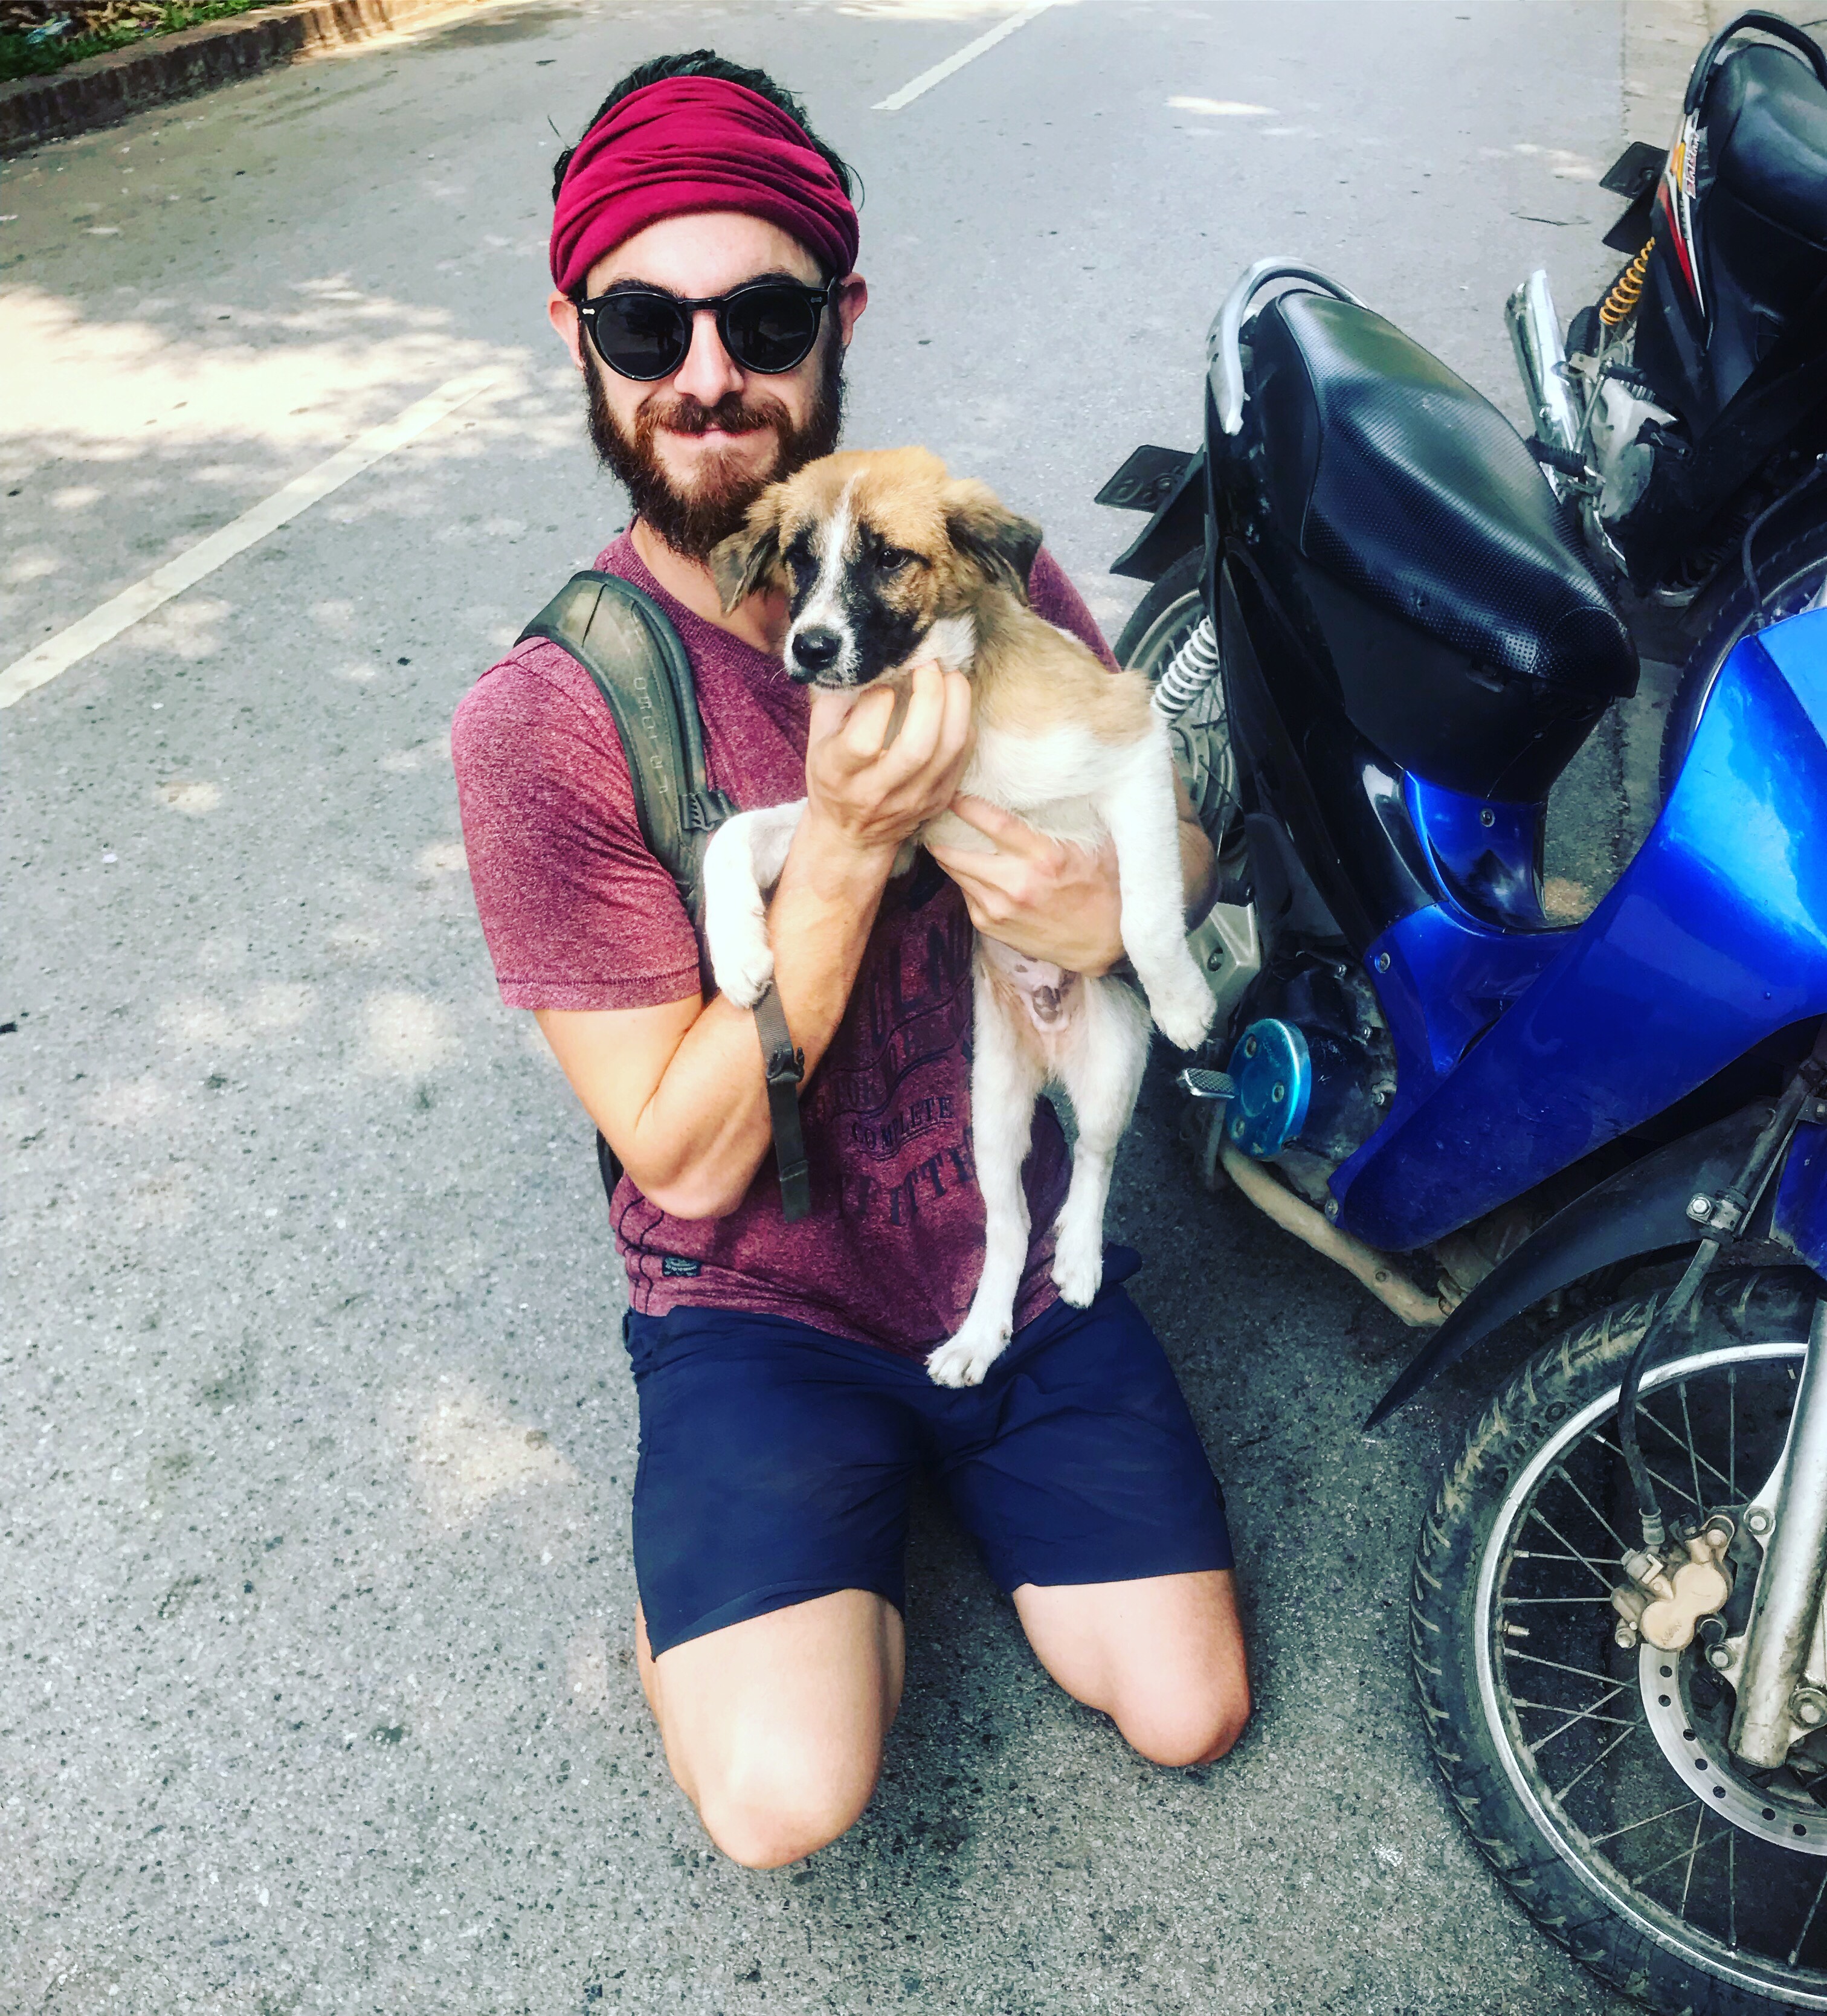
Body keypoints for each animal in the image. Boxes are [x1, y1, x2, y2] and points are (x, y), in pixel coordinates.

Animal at [706, 445, 1218, 1386]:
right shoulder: (895, 837)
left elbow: (1146, 915)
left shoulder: (1134, 749)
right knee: (1011, 1227)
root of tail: (1052, 1051)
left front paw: (1188, 1005)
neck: (926, 688)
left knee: (1094, 1161)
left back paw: (1081, 1257)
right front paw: (738, 954)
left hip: (1111, 1068)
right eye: (799, 557)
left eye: (888, 557)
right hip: (991, 1113)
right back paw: (979, 1338)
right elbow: (733, 833)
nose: (811, 647)